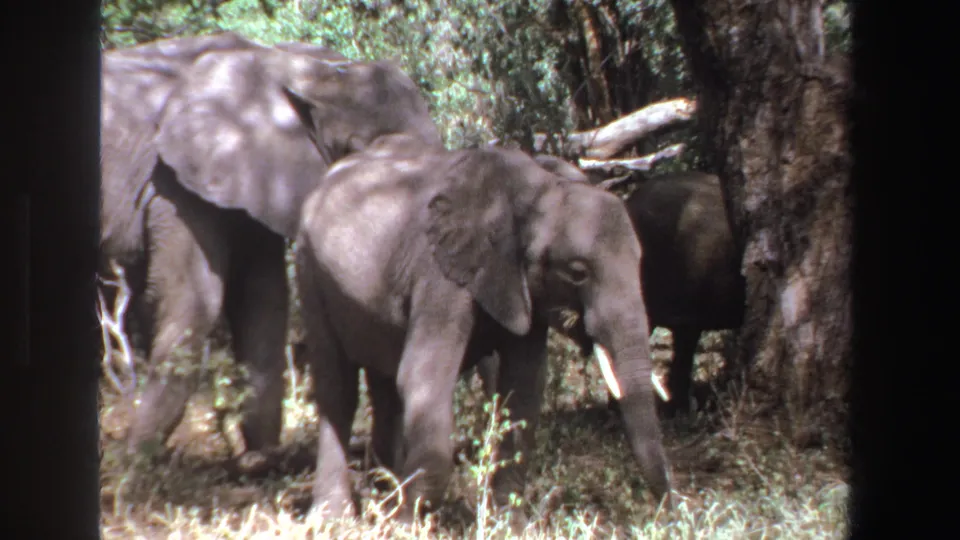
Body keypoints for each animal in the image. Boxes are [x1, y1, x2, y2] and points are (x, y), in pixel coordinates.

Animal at [100, 33, 443, 462]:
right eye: (359, 149)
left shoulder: (250, 178)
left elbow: (263, 298)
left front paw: (260, 459)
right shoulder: (174, 183)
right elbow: (192, 299)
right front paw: (134, 460)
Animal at [294, 142, 672, 520]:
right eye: (578, 273)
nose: (670, 505)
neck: (537, 190)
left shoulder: (523, 287)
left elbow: (523, 387)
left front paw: (507, 522)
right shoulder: (439, 274)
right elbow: (425, 376)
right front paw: (406, 521)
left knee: (383, 384)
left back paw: (382, 492)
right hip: (310, 270)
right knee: (338, 389)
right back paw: (334, 516)